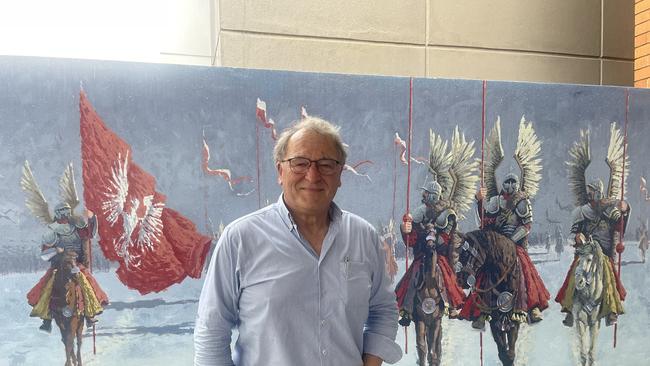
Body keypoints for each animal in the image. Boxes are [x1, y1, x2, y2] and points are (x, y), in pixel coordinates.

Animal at [456, 232, 520, 366]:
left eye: (467, 253)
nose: (459, 279)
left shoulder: (514, 318)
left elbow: (510, 353)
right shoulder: (494, 321)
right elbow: (503, 353)